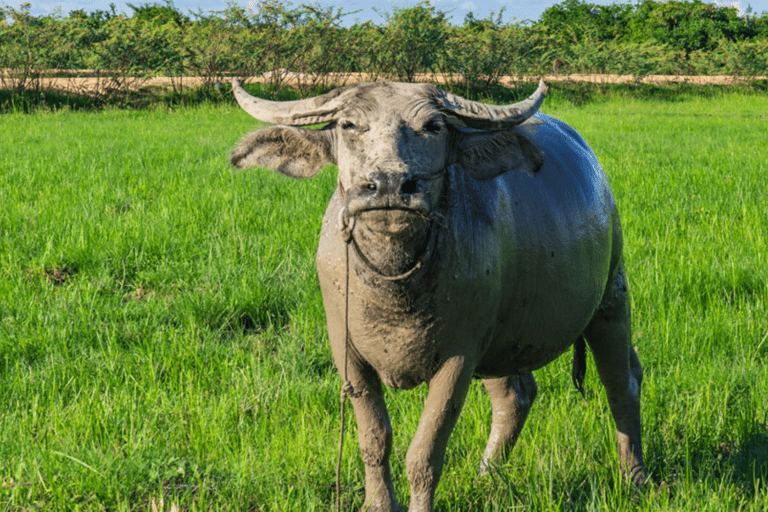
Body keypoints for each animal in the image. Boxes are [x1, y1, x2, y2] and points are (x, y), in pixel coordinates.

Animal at [231, 77, 644, 512]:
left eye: (433, 126)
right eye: (348, 125)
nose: (390, 185)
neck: (394, 290)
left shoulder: (459, 357)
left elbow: (424, 452)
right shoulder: (347, 351)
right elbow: (374, 440)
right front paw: (379, 503)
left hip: (611, 296)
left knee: (622, 384)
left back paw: (635, 478)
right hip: (502, 340)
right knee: (515, 396)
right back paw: (487, 475)